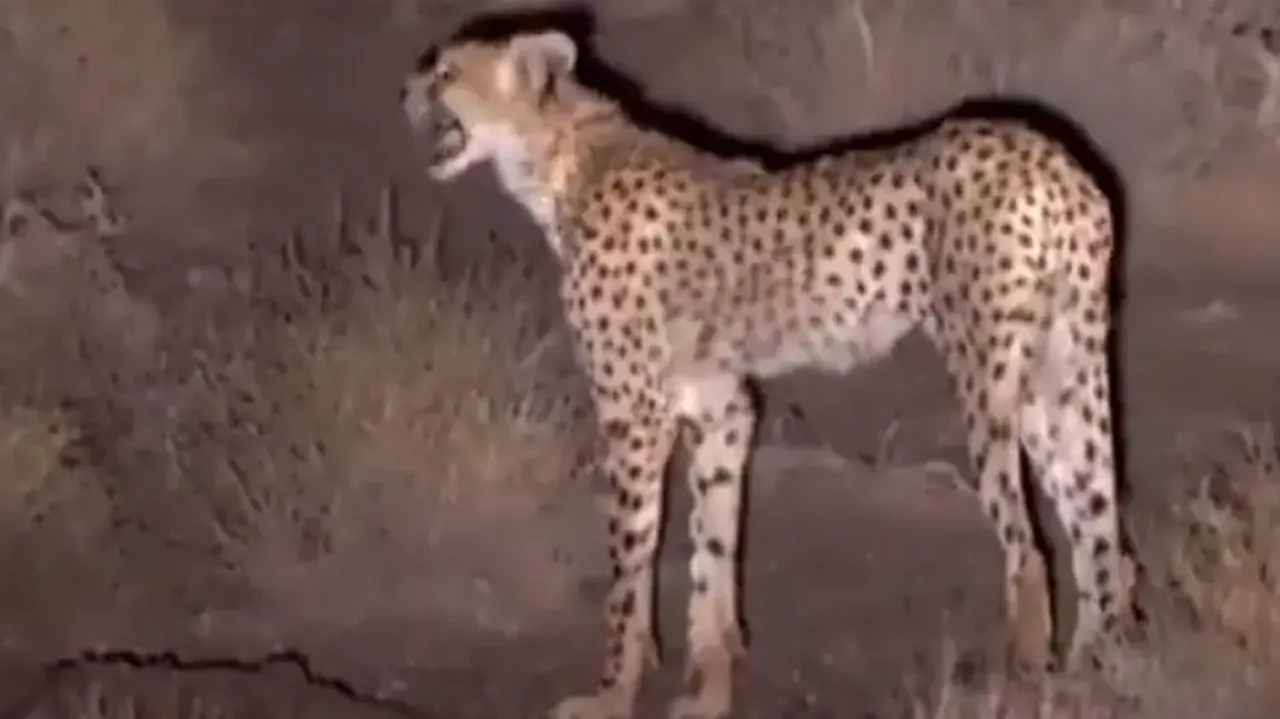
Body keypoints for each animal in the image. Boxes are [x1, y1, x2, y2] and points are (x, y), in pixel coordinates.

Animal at [400, 27, 1134, 719]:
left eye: (448, 74)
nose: (404, 92)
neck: (557, 156)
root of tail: (1045, 153)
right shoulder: (720, 408)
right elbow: (712, 554)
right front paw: (709, 691)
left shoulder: (634, 416)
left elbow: (629, 568)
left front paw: (611, 694)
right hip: (1059, 378)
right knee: (1100, 532)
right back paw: (1095, 670)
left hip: (990, 380)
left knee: (1029, 546)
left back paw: (1027, 678)